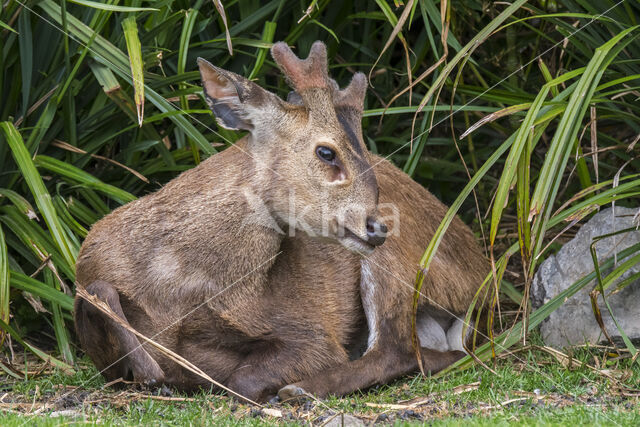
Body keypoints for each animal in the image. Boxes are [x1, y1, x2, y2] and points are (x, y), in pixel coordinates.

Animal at [75, 41, 488, 404]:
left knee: (399, 351)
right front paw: (150, 372)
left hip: (399, 265)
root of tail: (483, 274)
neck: (178, 289)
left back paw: (300, 390)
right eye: (326, 152)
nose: (377, 226)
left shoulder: (310, 329)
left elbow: (242, 381)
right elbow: (94, 295)